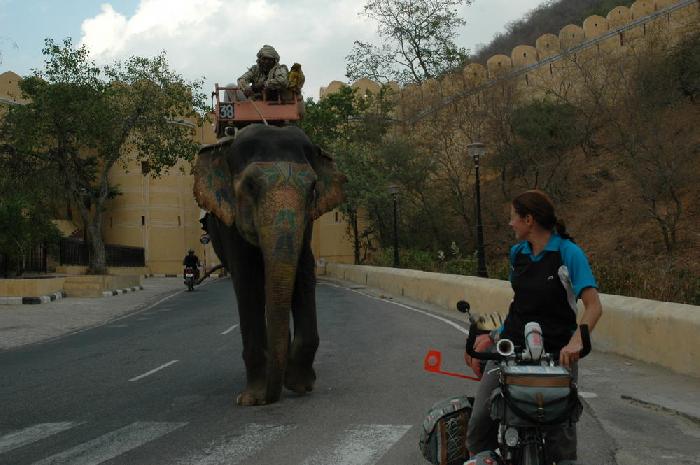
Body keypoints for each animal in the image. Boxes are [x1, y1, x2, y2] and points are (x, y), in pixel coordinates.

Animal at [193, 122, 346, 402]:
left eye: (312, 188)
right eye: (251, 186)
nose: (269, 397)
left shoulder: (306, 224)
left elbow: (304, 271)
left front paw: (299, 385)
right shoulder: (230, 225)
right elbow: (246, 280)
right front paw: (253, 398)